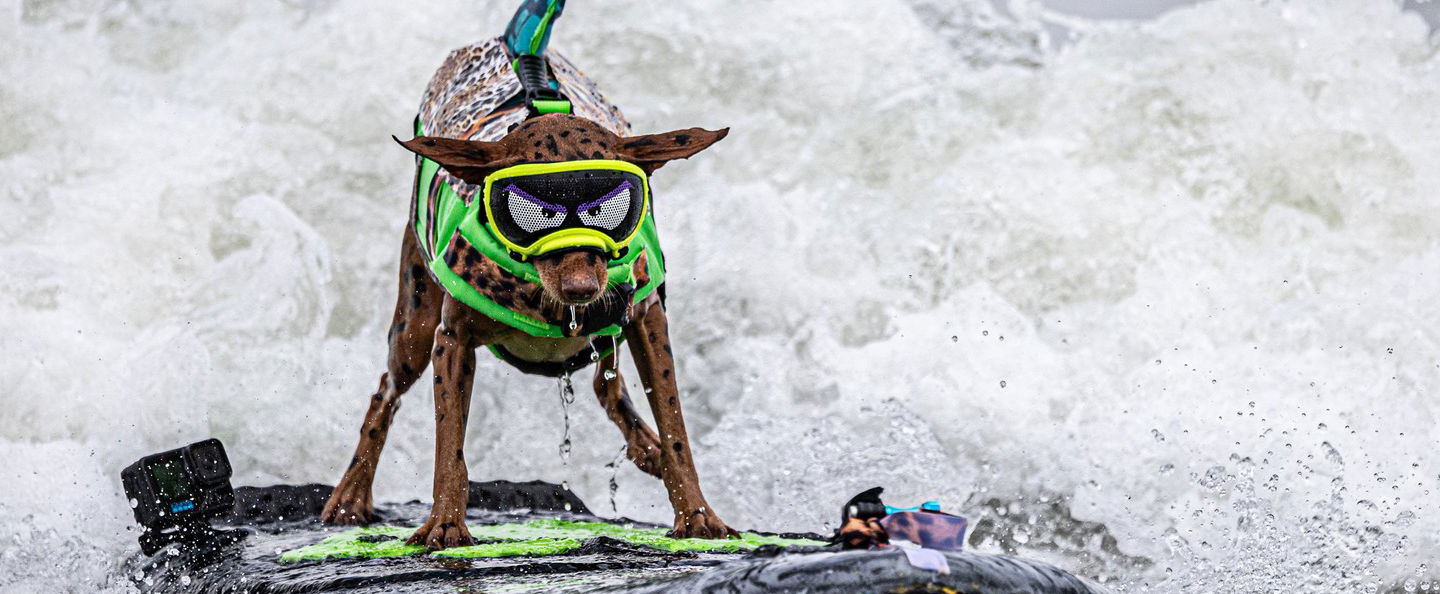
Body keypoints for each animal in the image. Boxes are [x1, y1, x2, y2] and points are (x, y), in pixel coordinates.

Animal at [321, 37, 737, 547]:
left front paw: (697, 514)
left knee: (606, 384)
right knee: (385, 392)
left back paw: (648, 449)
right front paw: (444, 522)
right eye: (531, 210)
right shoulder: (450, 343)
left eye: (610, 206)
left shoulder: (647, 321)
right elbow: (449, 444)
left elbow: (676, 428)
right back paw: (350, 495)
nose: (582, 289)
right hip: (413, 324)